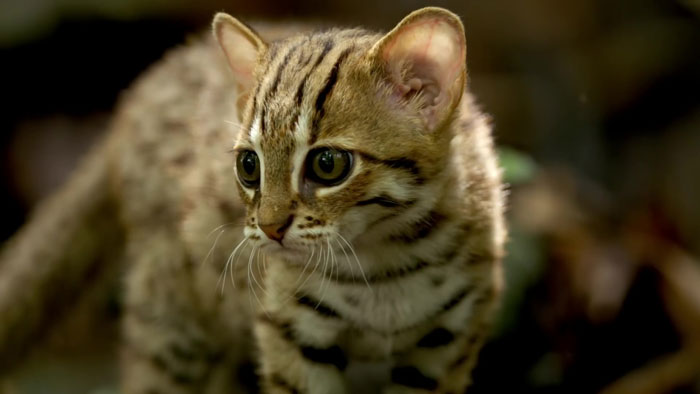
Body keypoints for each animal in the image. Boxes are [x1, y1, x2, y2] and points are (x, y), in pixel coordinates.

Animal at [0, 6, 504, 394]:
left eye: (328, 164)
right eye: (248, 165)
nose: (269, 228)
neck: (385, 264)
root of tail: (145, 86)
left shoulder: (448, 340)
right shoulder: (291, 329)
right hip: (171, 323)